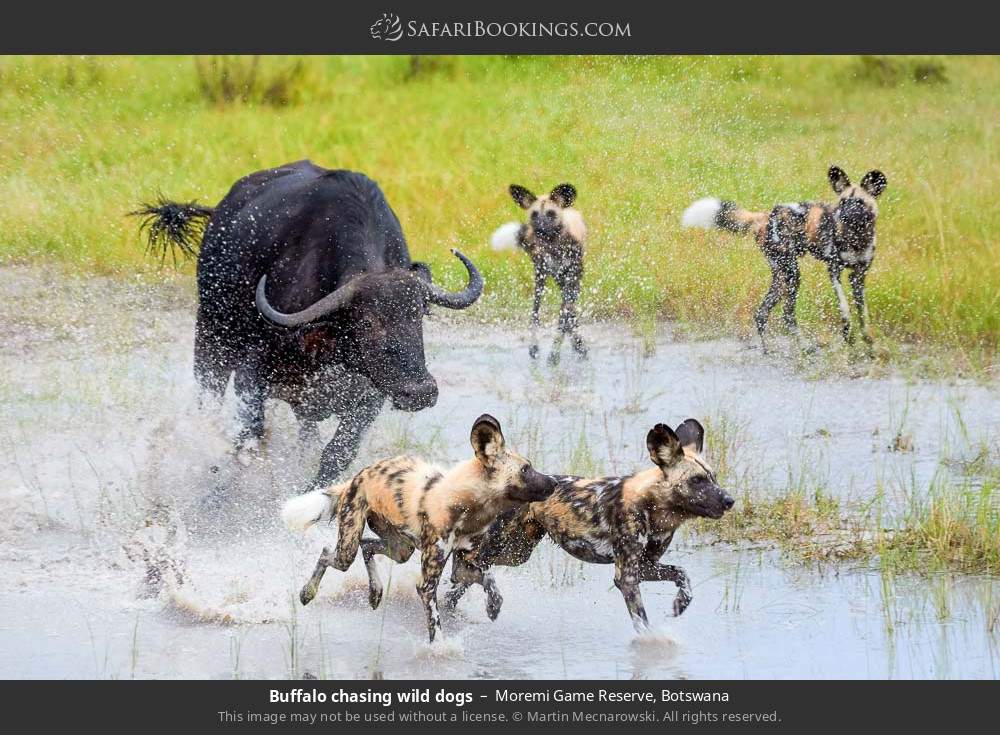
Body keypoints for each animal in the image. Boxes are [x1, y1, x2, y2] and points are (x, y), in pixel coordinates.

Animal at [137, 158, 484, 486]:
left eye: (419, 315)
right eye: (367, 323)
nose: (420, 391)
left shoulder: (371, 396)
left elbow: (336, 453)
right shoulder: (252, 375)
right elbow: (249, 441)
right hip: (211, 340)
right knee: (207, 402)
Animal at [282, 414, 560, 644]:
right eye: (526, 469)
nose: (555, 482)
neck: (467, 505)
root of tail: (359, 475)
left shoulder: (463, 568)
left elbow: (490, 581)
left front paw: (493, 607)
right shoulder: (427, 584)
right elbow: (435, 623)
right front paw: (439, 650)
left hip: (400, 549)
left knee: (367, 546)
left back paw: (375, 592)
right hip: (347, 550)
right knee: (328, 552)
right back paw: (307, 593)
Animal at [446, 420, 736, 632]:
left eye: (713, 477)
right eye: (697, 480)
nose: (729, 500)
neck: (655, 507)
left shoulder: (645, 567)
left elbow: (683, 574)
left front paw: (680, 604)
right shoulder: (626, 577)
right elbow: (642, 623)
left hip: (516, 552)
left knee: (461, 578)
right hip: (497, 548)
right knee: (468, 567)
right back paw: (488, 604)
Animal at [492, 183, 584, 364]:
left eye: (551, 214)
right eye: (534, 215)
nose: (539, 229)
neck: (553, 245)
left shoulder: (572, 281)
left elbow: (564, 318)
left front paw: (555, 355)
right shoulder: (542, 274)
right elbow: (540, 316)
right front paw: (543, 352)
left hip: (564, 282)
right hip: (545, 280)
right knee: (540, 312)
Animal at [680, 167, 892, 350]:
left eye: (859, 203)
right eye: (842, 202)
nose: (842, 216)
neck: (856, 238)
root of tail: (764, 216)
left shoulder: (858, 277)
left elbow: (863, 314)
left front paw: (869, 343)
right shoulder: (834, 272)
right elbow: (845, 309)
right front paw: (848, 336)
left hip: (782, 277)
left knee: (761, 313)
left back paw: (768, 351)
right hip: (792, 275)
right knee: (787, 314)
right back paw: (804, 347)